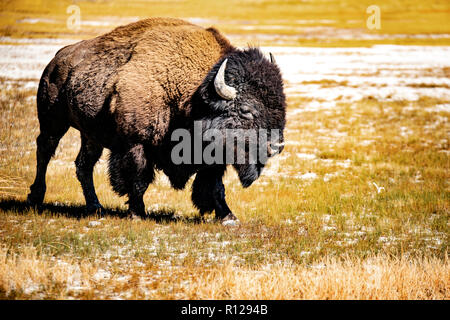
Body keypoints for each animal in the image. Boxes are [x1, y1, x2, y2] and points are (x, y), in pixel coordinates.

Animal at [28, 18, 286, 222]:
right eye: (246, 110)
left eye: (282, 105)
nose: (277, 145)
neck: (194, 97)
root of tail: (57, 59)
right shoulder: (136, 143)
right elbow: (138, 178)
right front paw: (137, 213)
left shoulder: (212, 158)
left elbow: (214, 187)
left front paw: (228, 216)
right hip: (53, 122)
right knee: (44, 151)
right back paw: (35, 197)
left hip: (91, 135)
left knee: (83, 165)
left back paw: (95, 207)